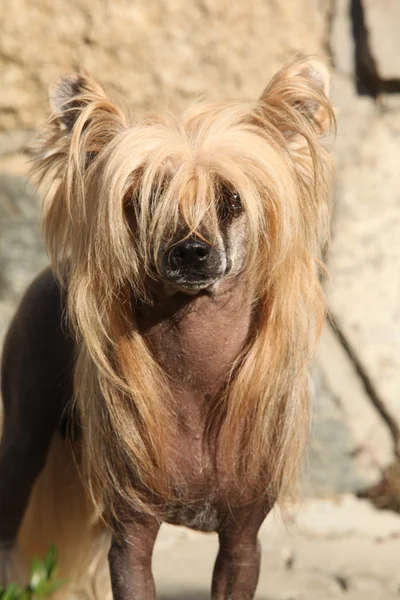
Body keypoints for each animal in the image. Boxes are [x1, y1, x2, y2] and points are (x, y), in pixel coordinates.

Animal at [0, 57, 334, 600]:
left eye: (231, 199)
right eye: (147, 198)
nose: (191, 250)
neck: (197, 369)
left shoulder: (242, 541)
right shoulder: (131, 537)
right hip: (23, 440)